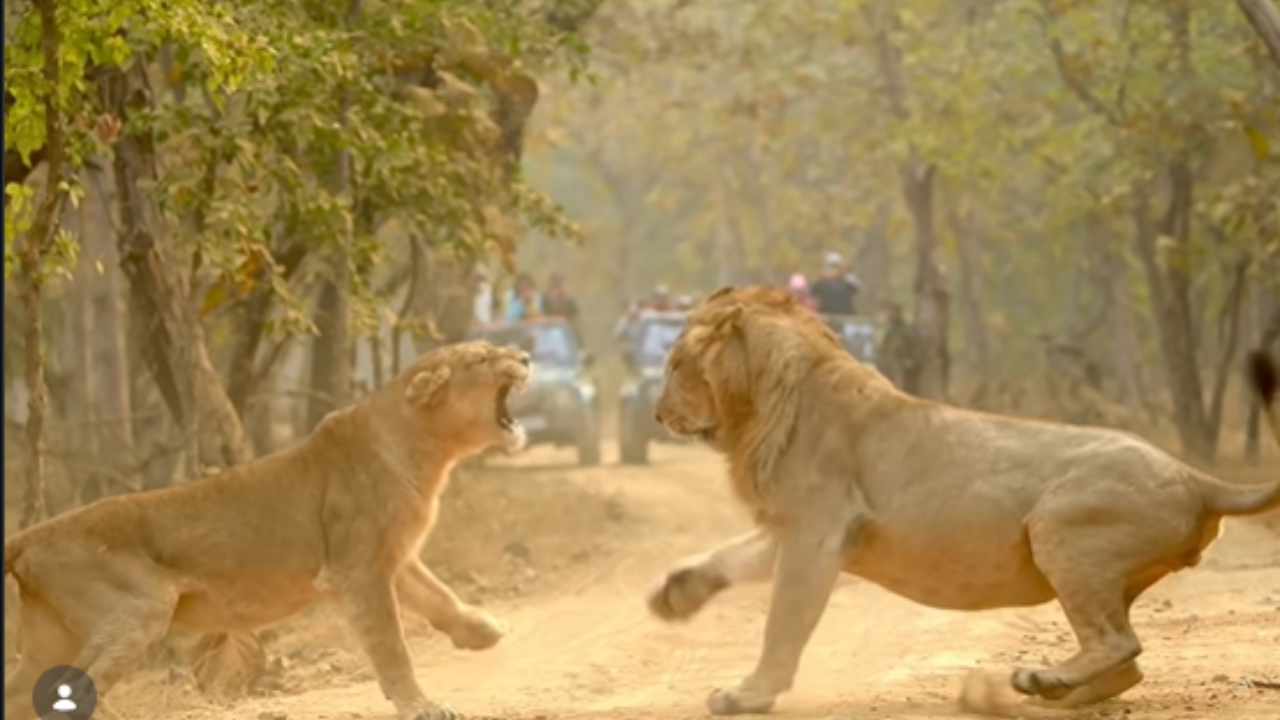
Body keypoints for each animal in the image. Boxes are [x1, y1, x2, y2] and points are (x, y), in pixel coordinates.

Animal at [4, 341, 532, 720]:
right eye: (481, 357)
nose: (526, 357)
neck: (427, 448)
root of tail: (35, 533)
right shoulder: (357, 570)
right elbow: (392, 645)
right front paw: (422, 706)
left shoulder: (390, 558)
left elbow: (439, 596)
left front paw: (483, 631)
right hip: (137, 610)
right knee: (73, 687)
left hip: (52, 637)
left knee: (20, 696)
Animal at [646, 285, 1280, 717]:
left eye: (675, 365)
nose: (655, 413)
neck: (764, 402)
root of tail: (1195, 476)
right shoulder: (797, 527)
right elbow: (729, 556)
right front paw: (673, 595)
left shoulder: (817, 531)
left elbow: (782, 621)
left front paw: (747, 694)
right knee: (1127, 664)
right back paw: (1055, 689)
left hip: (1059, 529)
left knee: (1120, 642)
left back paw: (1041, 680)